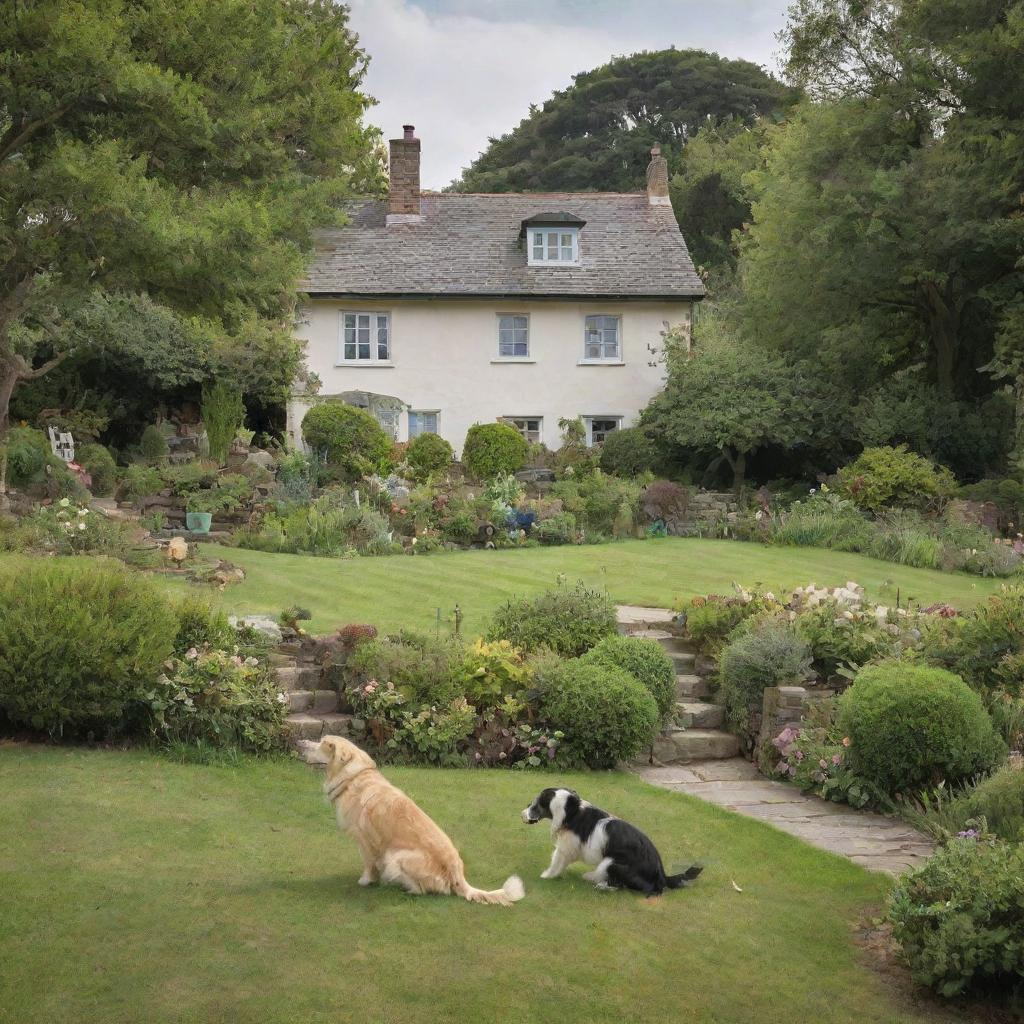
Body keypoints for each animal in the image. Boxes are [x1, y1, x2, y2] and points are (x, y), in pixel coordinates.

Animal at [317, 737, 528, 905]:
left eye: (324, 743)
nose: (307, 743)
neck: (356, 777)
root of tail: (458, 876)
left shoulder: (365, 841)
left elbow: (369, 866)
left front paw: (366, 881)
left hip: (396, 856)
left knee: (422, 889)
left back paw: (405, 887)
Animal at [524, 786, 700, 892]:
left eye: (536, 804)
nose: (523, 813)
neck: (572, 812)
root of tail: (662, 875)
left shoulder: (566, 848)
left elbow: (556, 862)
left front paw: (547, 875)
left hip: (612, 863)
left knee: (620, 884)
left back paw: (596, 881)